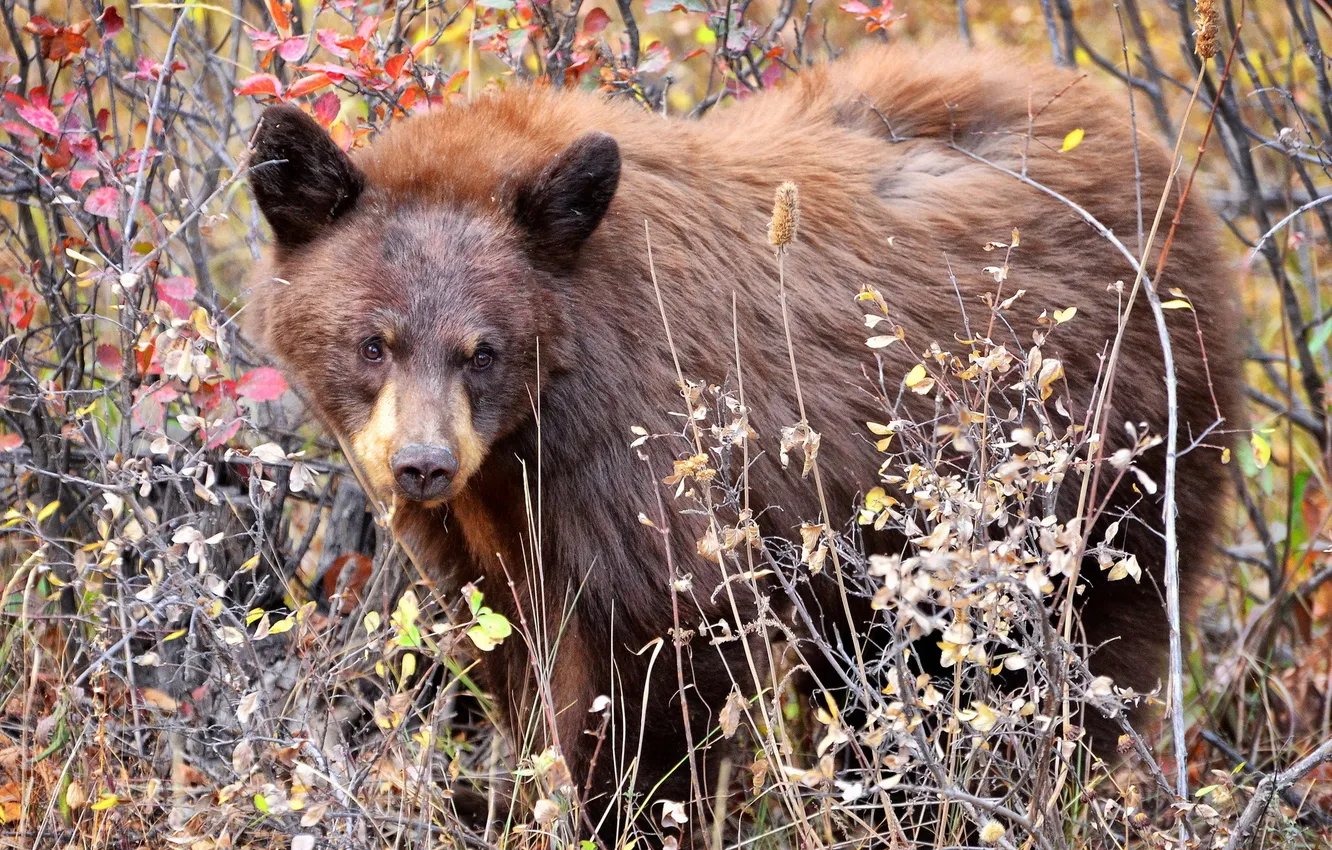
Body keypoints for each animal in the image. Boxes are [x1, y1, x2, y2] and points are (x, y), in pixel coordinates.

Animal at [247, 38, 1236, 847]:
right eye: (371, 342)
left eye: (483, 350)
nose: (422, 466)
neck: (536, 429)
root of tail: (1157, 157)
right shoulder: (485, 532)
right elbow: (512, 649)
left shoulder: (653, 450)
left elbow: (661, 659)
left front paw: (622, 815)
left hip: (1111, 454)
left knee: (1074, 650)